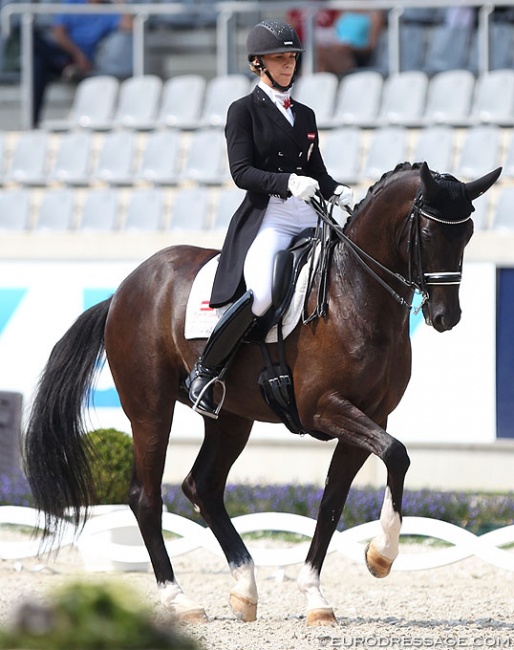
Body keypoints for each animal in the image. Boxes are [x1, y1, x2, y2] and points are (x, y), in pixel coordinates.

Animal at [25, 161, 500, 624]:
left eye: (467, 234)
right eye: (428, 233)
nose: (446, 317)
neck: (355, 297)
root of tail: (125, 288)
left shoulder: (370, 416)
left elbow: (335, 500)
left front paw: (317, 595)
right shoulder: (324, 409)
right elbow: (397, 454)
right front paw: (381, 555)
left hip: (232, 418)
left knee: (203, 486)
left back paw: (244, 589)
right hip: (150, 410)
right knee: (146, 497)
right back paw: (179, 600)